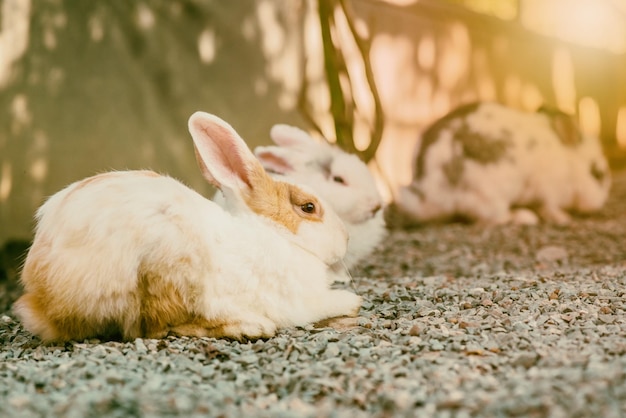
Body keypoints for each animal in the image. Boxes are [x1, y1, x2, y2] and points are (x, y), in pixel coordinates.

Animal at [13, 111, 360, 342]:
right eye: (308, 207)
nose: (345, 239)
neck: (271, 234)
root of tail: (43, 300)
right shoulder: (300, 302)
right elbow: (330, 303)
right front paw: (353, 302)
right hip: (165, 273)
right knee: (156, 328)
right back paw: (248, 326)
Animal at [386, 101, 608, 227]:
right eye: (597, 173)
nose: (599, 205)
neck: (569, 164)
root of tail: (430, 192)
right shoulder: (549, 191)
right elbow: (549, 207)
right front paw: (563, 219)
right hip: (490, 193)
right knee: (492, 217)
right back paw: (523, 217)